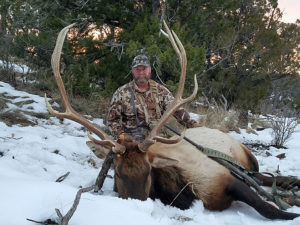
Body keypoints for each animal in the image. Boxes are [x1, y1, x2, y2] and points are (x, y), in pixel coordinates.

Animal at [45, 22, 300, 220]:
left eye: (149, 171)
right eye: (116, 173)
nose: (136, 207)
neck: (184, 191)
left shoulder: (224, 176)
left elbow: (271, 210)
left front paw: (290, 209)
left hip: (247, 156)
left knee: (262, 175)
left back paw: (289, 182)